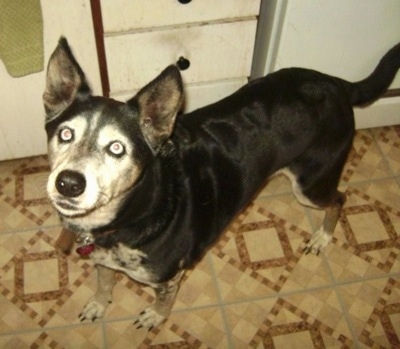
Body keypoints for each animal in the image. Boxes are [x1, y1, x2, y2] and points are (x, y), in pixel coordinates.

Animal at [43, 39, 400, 328]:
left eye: (117, 148)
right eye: (65, 134)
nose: (68, 183)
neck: (135, 213)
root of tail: (337, 82)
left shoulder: (168, 277)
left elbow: (163, 301)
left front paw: (156, 316)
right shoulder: (102, 259)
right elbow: (104, 283)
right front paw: (98, 304)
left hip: (311, 183)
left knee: (340, 199)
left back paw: (322, 237)